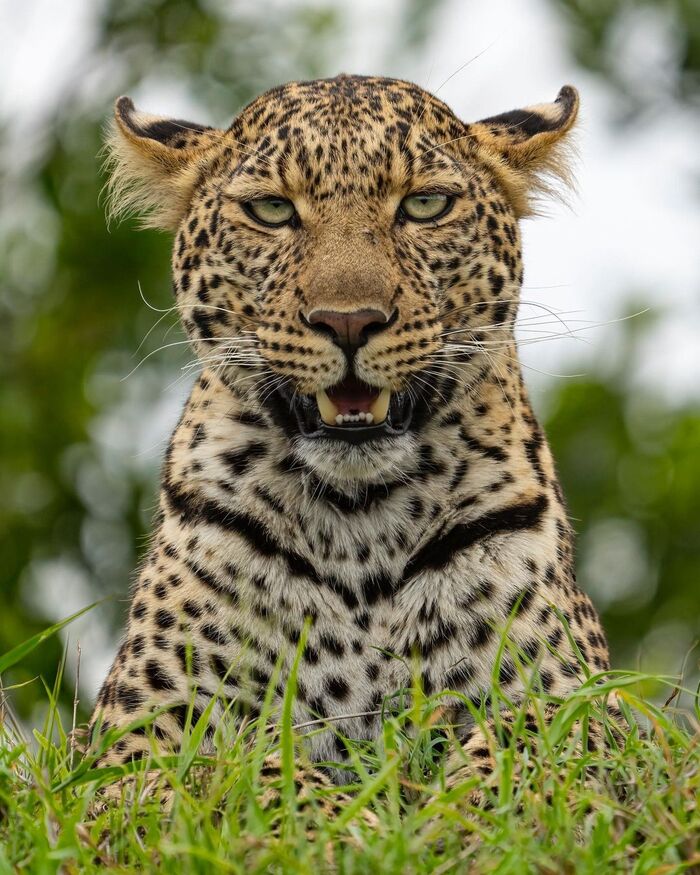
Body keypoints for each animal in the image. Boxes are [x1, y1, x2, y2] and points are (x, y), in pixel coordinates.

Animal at [90, 75, 616, 816]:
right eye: (272, 210)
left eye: (425, 205)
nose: (348, 321)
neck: (360, 519)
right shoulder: (131, 733)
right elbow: (240, 772)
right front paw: (351, 817)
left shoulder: (585, 702)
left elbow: (522, 758)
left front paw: (446, 815)